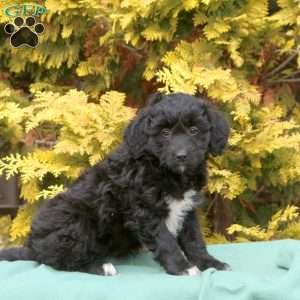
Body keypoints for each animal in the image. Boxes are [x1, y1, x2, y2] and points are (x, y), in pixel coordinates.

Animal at [0, 92, 230, 276]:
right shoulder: (145, 210)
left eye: (194, 130)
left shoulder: (187, 209)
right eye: (164, 133)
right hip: (74, 220)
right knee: (61, 259)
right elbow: (166, 240)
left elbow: (194, 240)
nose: (181, 156)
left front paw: (210, 263)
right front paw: (182, 267)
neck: (165, 170)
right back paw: (101, 266)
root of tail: (33, 247)